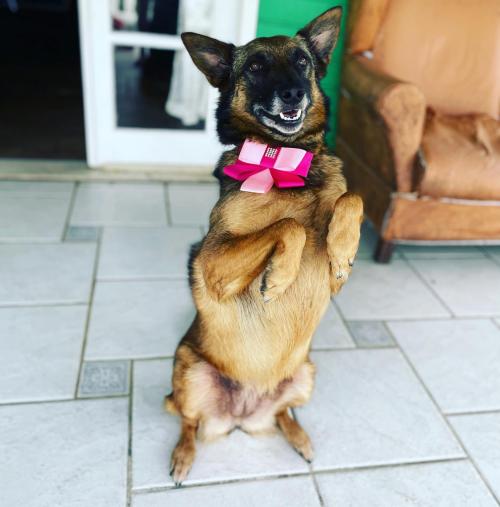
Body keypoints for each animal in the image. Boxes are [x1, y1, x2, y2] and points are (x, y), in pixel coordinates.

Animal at [165, 6, 363, 484]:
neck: (281, 160)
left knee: (282, 414)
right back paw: (183, 456)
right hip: (188, 368)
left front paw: (341, 251)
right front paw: (279, 277)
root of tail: (241, 414)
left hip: (305, 375)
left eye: (302, 62)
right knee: (188, 421)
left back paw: (300, 438)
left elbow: (351, 198)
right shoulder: (212, 262)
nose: (293, 92)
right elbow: (290, 226)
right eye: (255, 68)